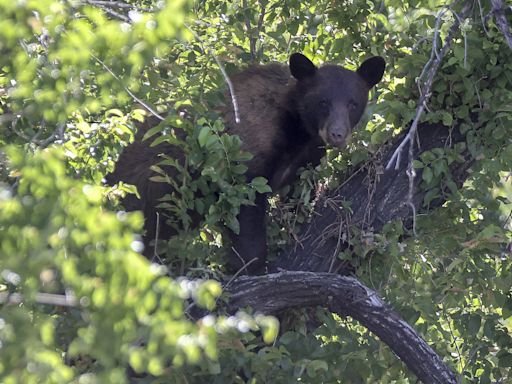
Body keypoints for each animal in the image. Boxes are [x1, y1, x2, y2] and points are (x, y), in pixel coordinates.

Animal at [107, 54, 384, 274]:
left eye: (353, 103)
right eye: (323, 102)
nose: (337, 134)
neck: (297, 128)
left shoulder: (306, 158)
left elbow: (298, 196)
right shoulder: (245, 153)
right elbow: (245, 207)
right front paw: (251, 267)